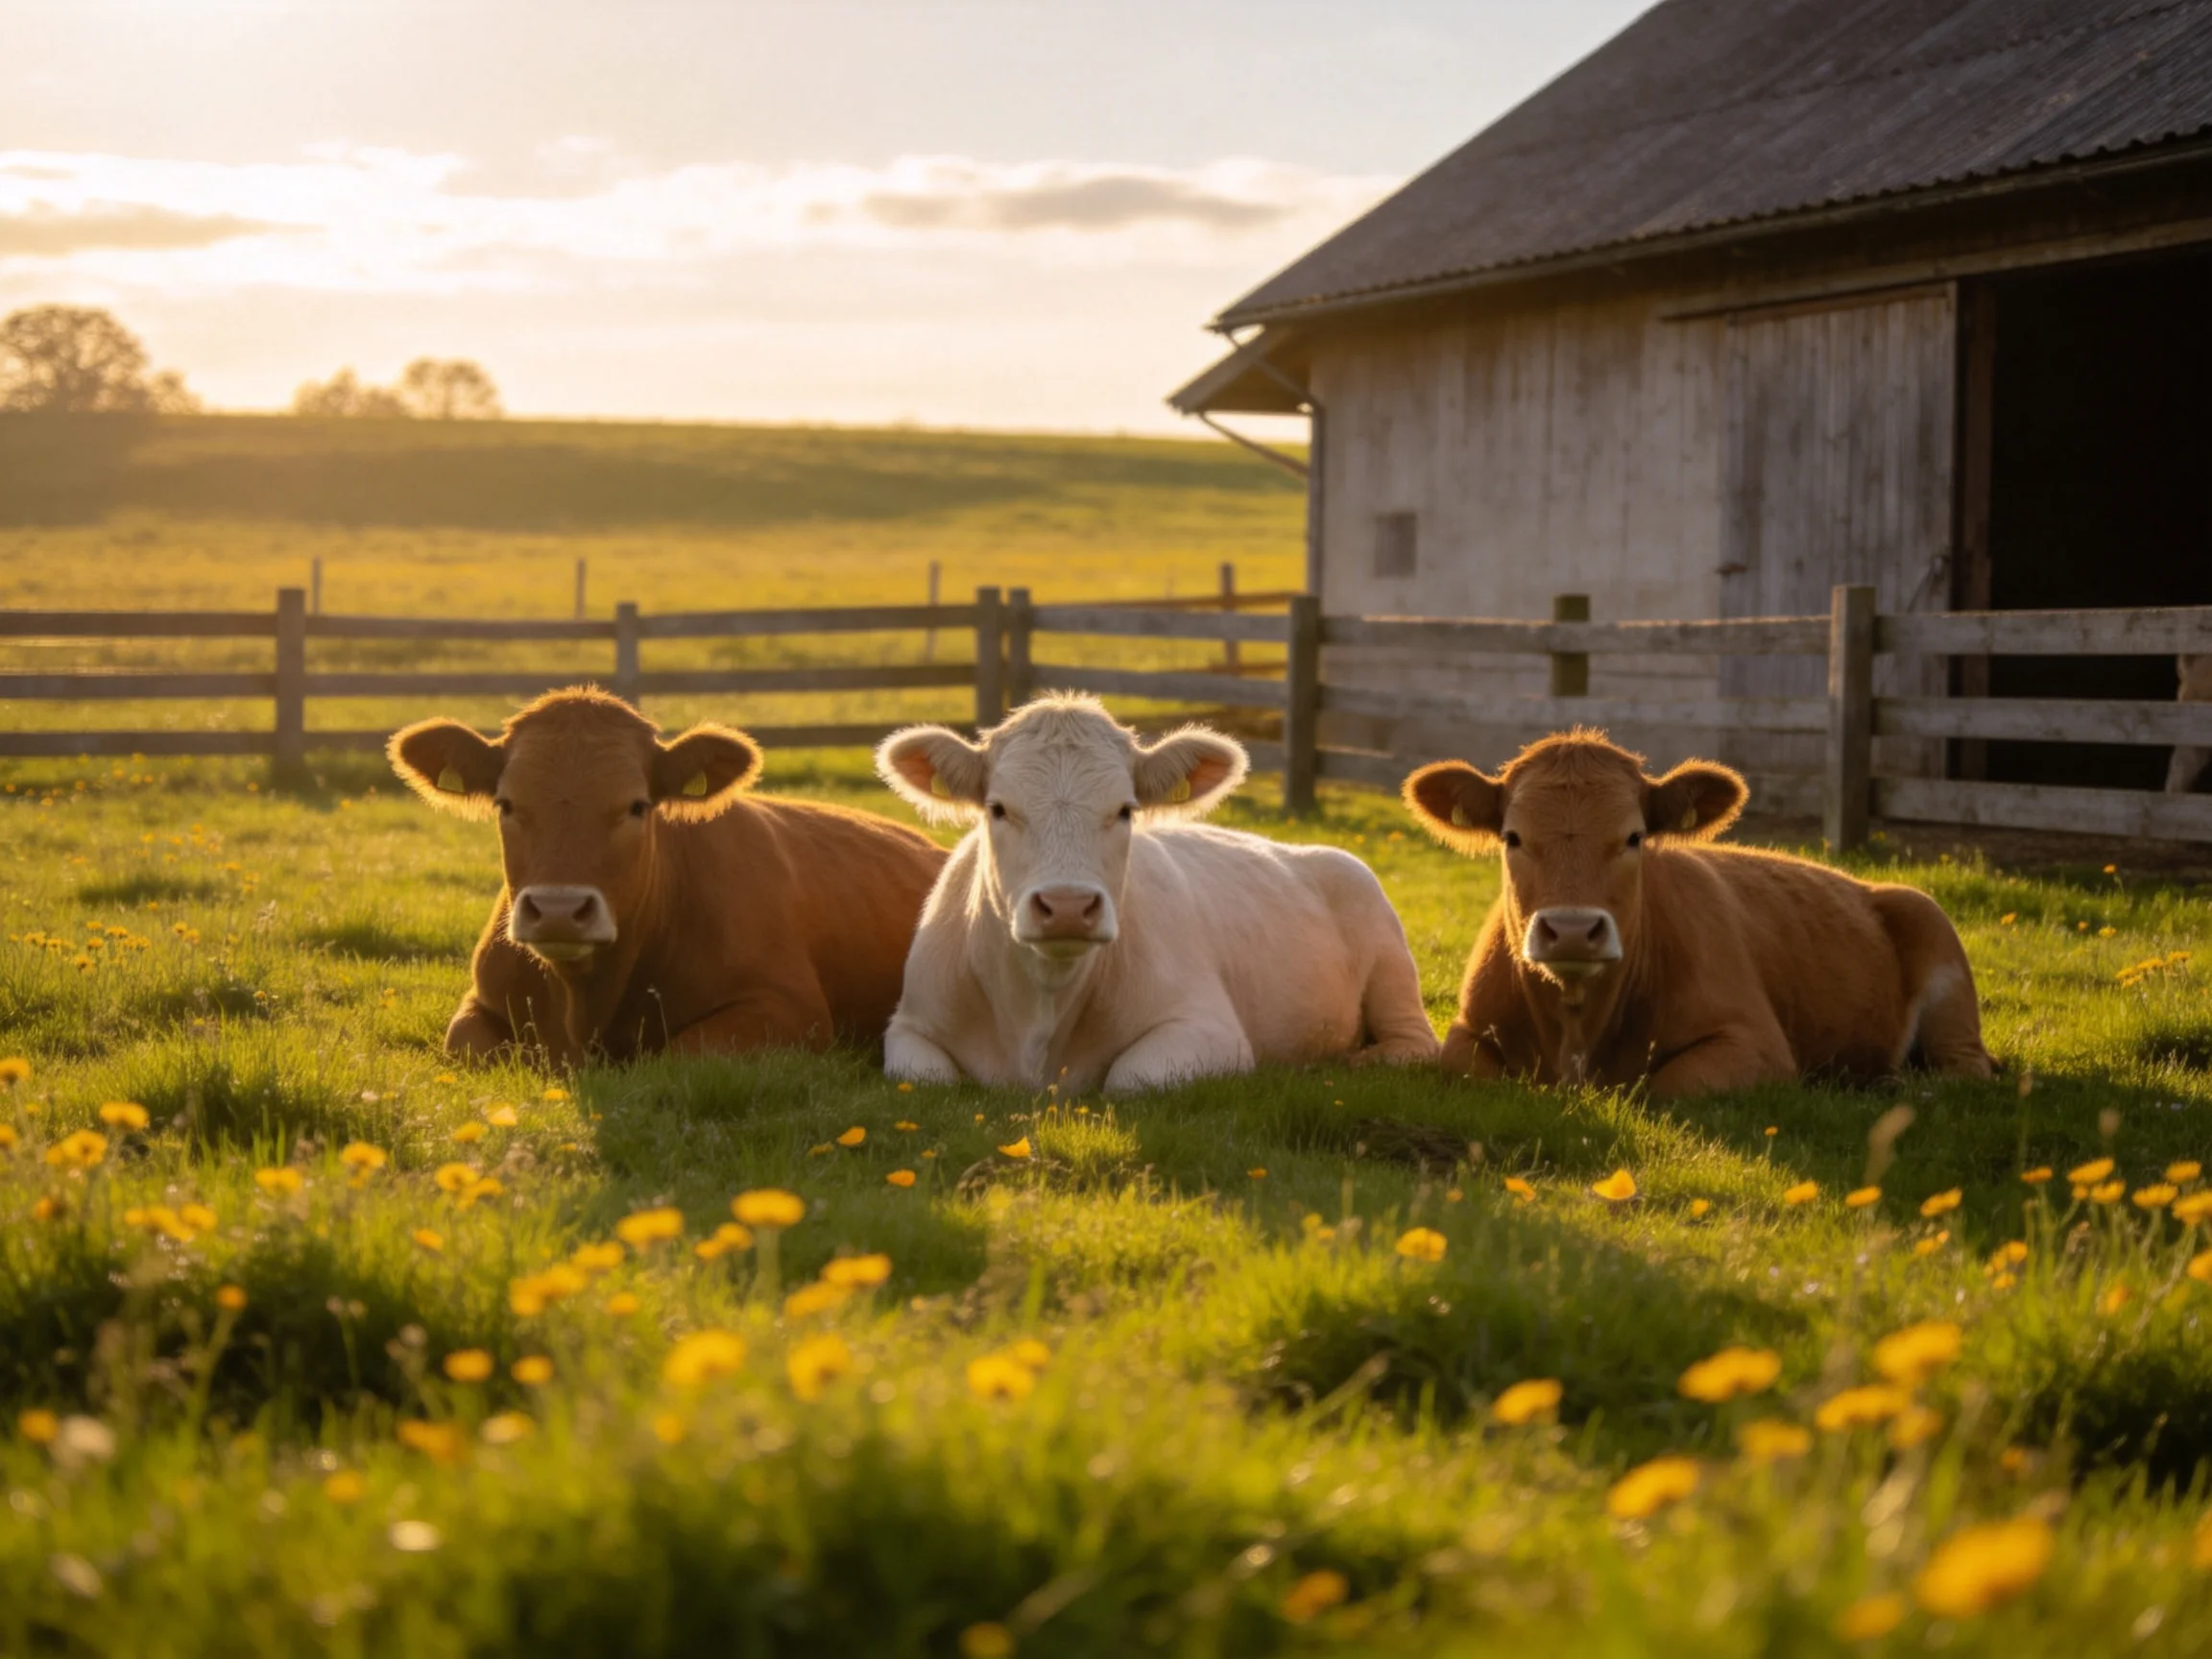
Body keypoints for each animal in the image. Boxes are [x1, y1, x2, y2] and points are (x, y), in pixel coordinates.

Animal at [389, 687, 946, 1064]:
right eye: (506, 804)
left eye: (637, 806)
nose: (559, 911)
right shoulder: (480, 1004)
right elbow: (473, 1047)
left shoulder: (789, 1008)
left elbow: (679, 1054)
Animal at [874, 694, 1439, 1092]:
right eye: (998, 808)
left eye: (1125, 809)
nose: (1067, 907)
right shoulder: (909, 1025)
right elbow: (926, 1077)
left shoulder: (1212, 1030)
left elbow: (1130, 1078)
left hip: (1387, 954)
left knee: (1416, 1043)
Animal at [1402, 730, 1993, 1098]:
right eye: (1513, 837)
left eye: (1635, 837)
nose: (1571, 930)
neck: (1577, 1032)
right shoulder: (1464, 1037)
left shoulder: (1756, 1045)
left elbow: (1665, 1085)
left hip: (1940, 953)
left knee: (1963, 1070)